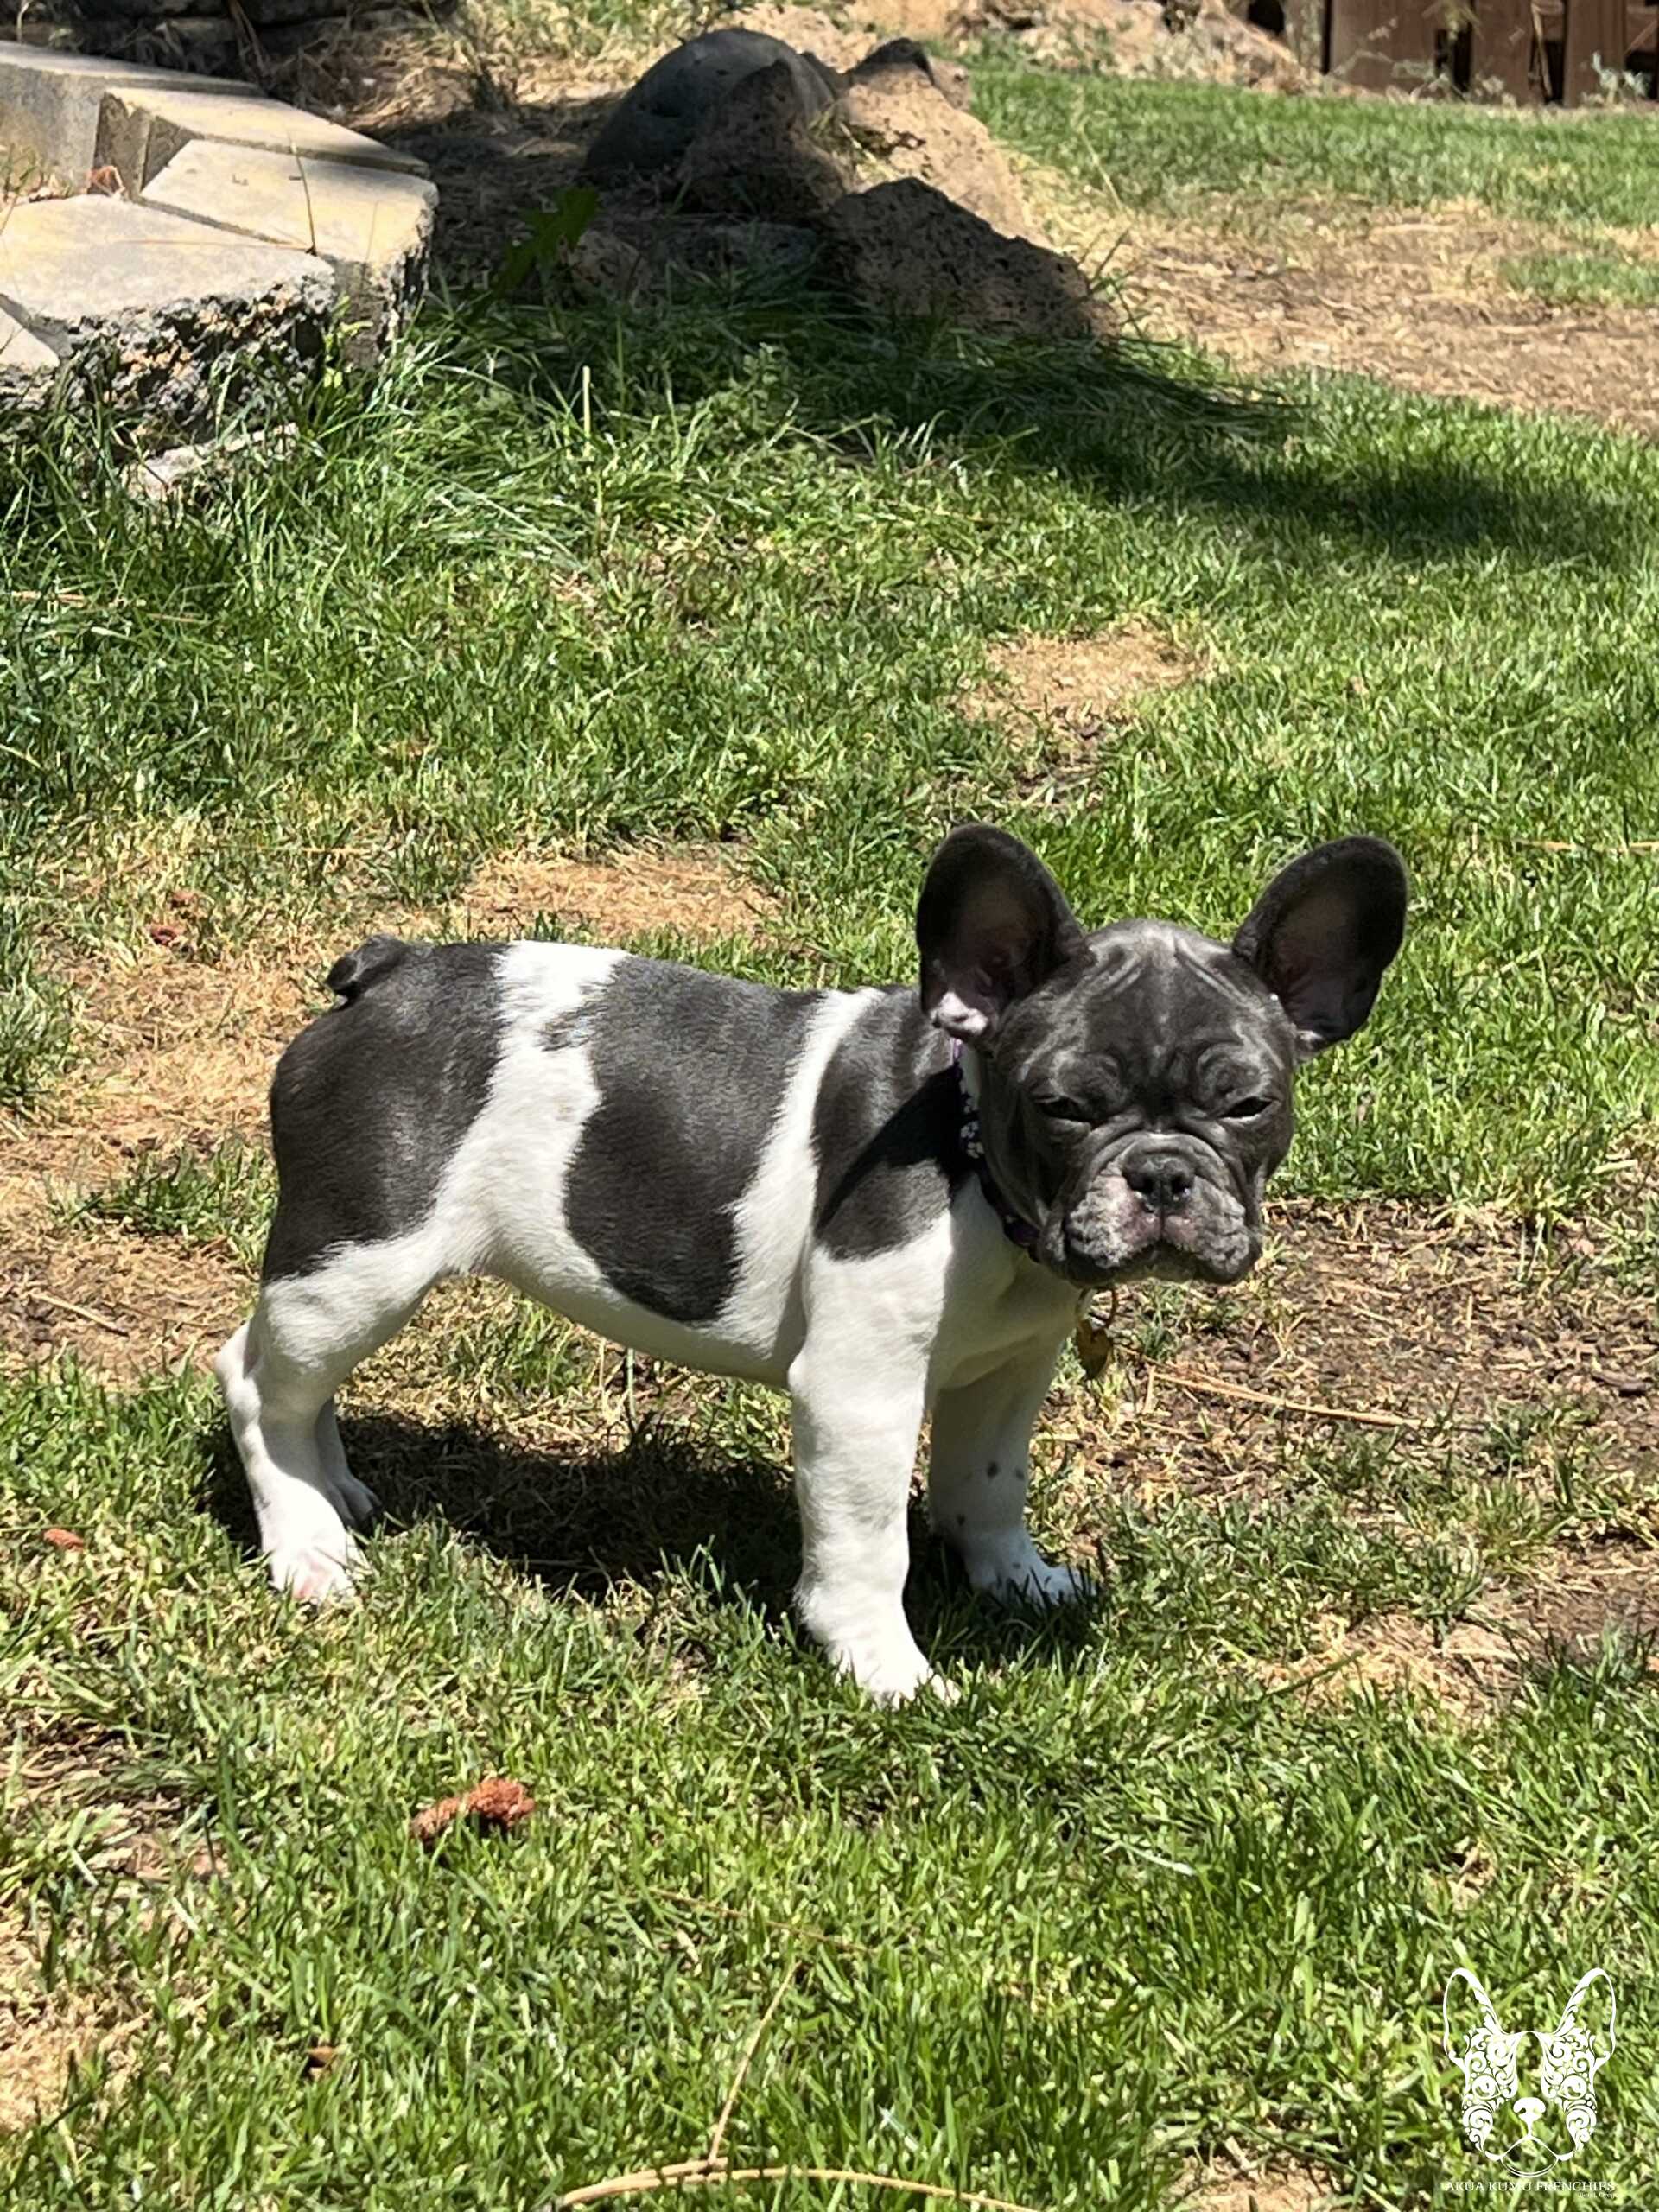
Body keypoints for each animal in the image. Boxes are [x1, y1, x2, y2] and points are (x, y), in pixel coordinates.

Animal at [214, 823, 1407, 1699]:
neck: (976, 1169)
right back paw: (305, 1546)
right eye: (1065, 1107)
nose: (1161, 1175)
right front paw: (887, 1670)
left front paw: (1016, 1580)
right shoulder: (859, 1394)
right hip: (360, 1258)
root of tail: (387, 975)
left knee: (300, 1387)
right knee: (258, 1382)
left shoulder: (1007, 1371)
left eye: (1249, 1104)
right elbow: (870, 1543)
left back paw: (333, 1493)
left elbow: (986, 1484)